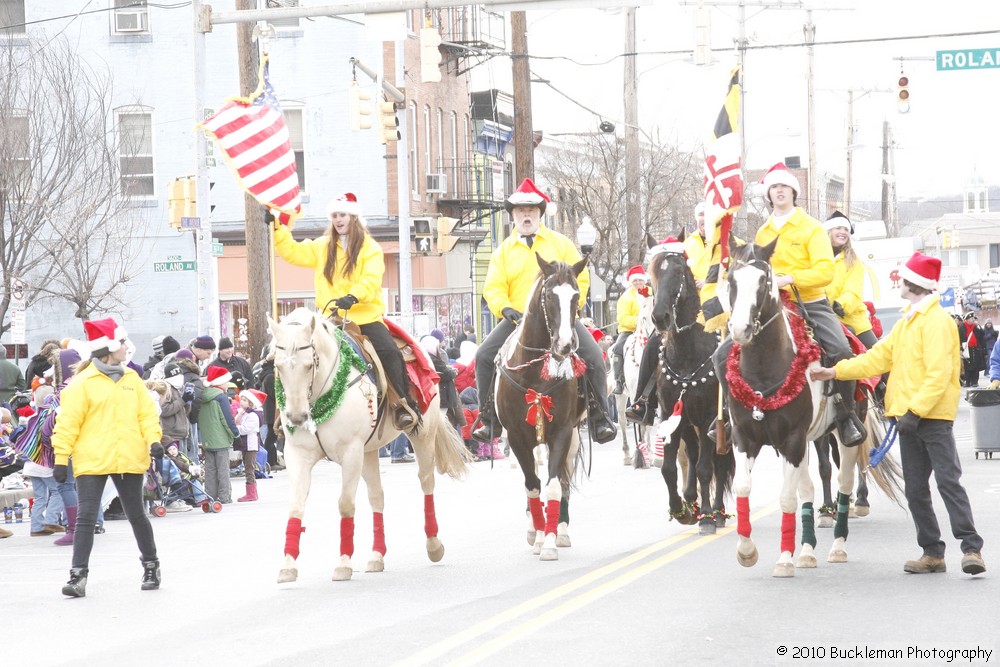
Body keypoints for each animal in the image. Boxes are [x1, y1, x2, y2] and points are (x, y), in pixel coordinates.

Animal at [266, 310, 468, 584]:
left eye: (309, 365)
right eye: (278, 366)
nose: (297, 417)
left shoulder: (351, 453)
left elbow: (345, 504)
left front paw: (343, 563)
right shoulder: (298, 455)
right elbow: (296, 506)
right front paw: (288, 566)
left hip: (423, 436)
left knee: (426, 483)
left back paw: (433, 544)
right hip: (370, 451)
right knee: (377, 497)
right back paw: (377, 556)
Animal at [496, 254, 588, 560]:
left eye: (576, 295)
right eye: (548, 295)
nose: (566, 344)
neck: (534, 371)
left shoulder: (562, 432)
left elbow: (553, 486)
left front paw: (548, 541)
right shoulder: (516, 436)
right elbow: (533, 486)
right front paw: (537, 536)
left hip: (571, 436)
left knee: (563, 478)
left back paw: (561, 529)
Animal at [648, 237, 736, 536]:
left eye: (678, 271)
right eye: (652, 273)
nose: (660, 317)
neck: (688, 356)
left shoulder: (710, 416)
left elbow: (706, 468)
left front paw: (707, 517)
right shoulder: (671, 416)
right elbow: (668, 468)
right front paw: (681, 510)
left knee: (718, 464)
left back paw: (717, 512)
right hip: (689, 425)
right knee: (693, 457)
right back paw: (692, 503)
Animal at [724, 240, 904, 580]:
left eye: (764, 280)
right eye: (730, 280)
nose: (740, 329)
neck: (763, 371)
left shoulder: (792, 440)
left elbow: (786, 497)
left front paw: (783, 559)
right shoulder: (747, 439)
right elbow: (744, 486)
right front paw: (746, 550)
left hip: (845, 434)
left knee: (845, 481)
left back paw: (837, 546)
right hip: (810, 438)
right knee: (808, 487)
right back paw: (807, 550)